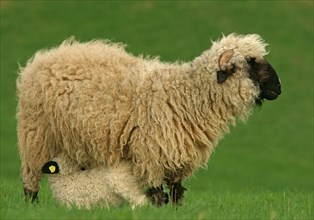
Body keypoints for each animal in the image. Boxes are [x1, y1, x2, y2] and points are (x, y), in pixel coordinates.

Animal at [16, 34, 282, 205]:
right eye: (250, 62)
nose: (279, 88)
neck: (185, 96)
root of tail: (43, 58)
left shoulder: (179, 154)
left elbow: (176, 192)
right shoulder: (152, 151)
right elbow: (157, 192)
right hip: (36, 134)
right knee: (31, 177)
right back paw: (32, 204)